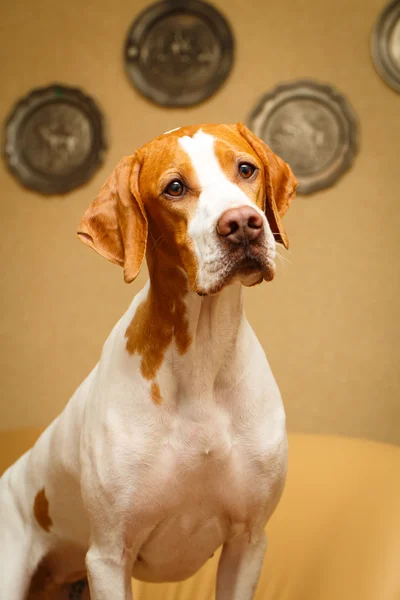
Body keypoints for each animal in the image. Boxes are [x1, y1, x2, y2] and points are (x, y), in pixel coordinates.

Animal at [0, 123, 296, 600]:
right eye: (174, 188)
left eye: (246, 169)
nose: (242, 224)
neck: (202, 361)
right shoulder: (108, 556)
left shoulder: (248, 542)